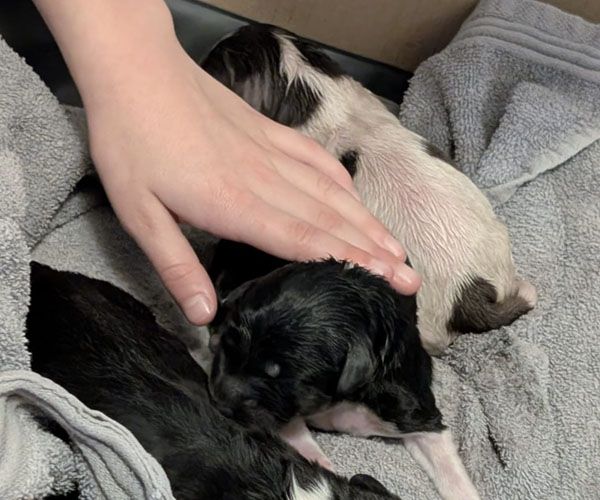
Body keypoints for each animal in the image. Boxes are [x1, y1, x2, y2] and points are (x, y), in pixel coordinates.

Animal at [208, 240, 480, 500]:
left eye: (280, 377)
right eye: (228, 350)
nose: (220, 403)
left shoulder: (412, 407)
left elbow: (448, 465)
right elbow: (292, 429)